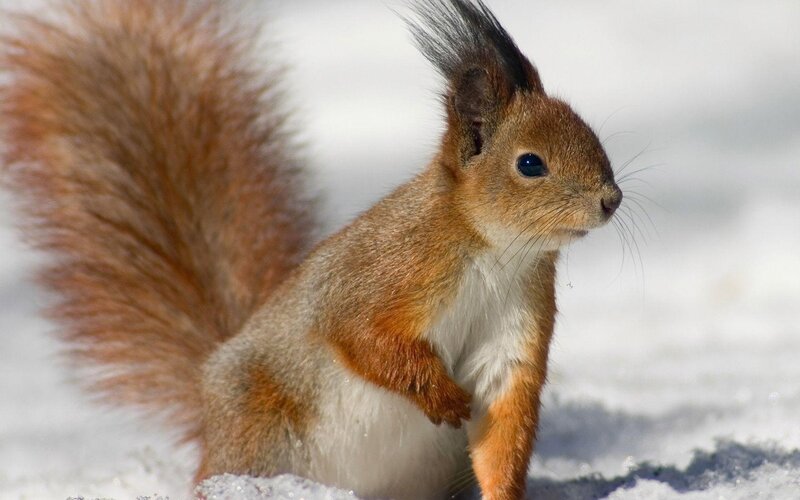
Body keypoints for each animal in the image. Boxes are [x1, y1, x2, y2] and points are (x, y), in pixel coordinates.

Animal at [0, 0, 622, 499]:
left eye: (594, 136)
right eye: (530, 164)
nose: (610, 200)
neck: (495, 251)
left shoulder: (514, 327)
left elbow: (503, 419)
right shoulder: (384, 271)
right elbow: (361, 335)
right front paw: (442, 398)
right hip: (262, 437)